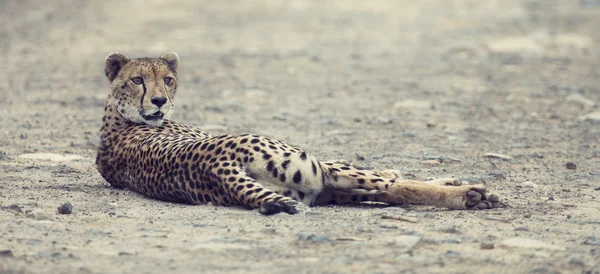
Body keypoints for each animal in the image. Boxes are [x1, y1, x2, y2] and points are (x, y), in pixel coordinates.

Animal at [97, 50, 502, 214]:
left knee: (383, 192)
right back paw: (471, 194)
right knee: (392, 188)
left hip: (313, 188)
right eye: (137, 79)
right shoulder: (324, 169)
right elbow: (390, 177)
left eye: (167, 79)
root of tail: (216, 167)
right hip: (313, 170)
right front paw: (448, 181)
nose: (160, 101)